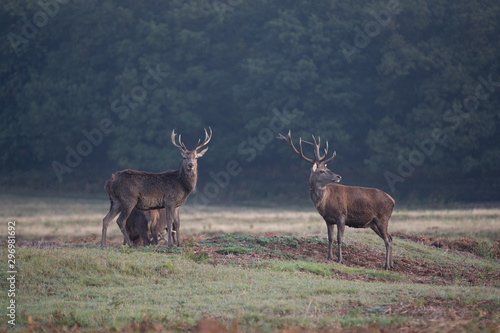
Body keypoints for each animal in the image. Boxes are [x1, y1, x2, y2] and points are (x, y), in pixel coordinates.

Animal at [280, 131, 392, 268]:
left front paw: (340, 259)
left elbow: (340, 239)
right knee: (390, 238)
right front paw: (329, 257)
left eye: (328, 169)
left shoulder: (341, 215)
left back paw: (386, 266)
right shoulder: (328, 219)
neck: (325, 203)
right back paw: (391, 264)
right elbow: (330, 238)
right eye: (322, 171)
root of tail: (393, 200)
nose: (339, 176)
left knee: (387, 240)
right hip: (374, 223)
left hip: (383, 218)